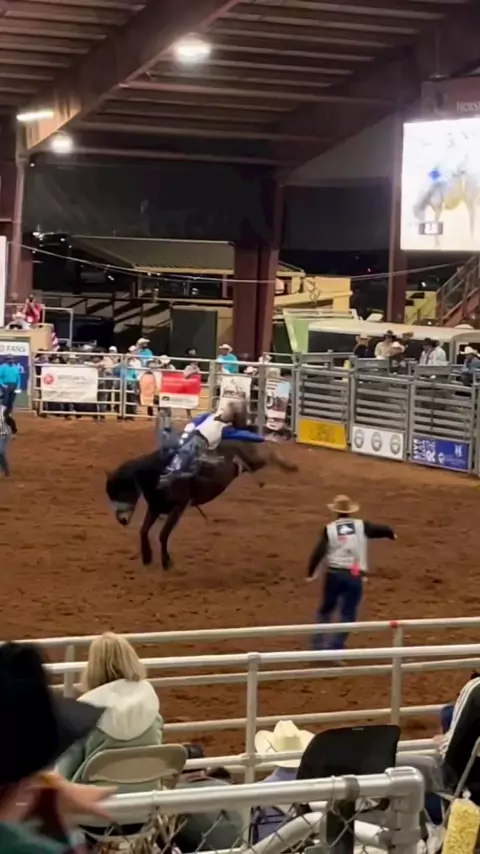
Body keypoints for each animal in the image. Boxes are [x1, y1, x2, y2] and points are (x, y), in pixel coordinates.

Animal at [106, 438, 297, 570]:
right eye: (111, 494)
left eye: (122, 490)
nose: (121, 520)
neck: (160, 472)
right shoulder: (155, 507)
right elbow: (144, 530)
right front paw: (147, 557)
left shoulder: (179, 506)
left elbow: (163, 534)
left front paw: (167, 562)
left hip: (253, 459)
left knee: (268, 453)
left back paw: (289, 464)